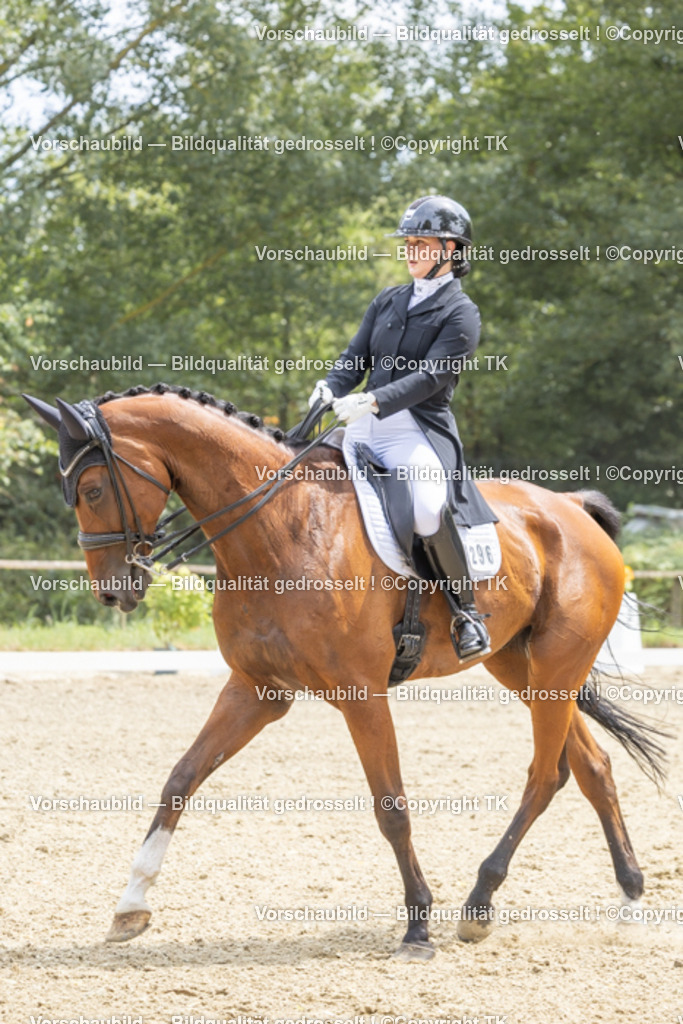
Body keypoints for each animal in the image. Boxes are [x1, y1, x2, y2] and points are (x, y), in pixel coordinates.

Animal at [23, 382, 667, 962]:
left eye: (93, 487)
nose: (114, 593)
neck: (277, 529)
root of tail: (573, 508)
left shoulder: (362, 696)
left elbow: (392, 810)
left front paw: (417, 927)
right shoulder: (257, 690)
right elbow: (180, 779)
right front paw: (130, 906)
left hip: (556, 665)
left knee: (544, 775)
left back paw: (479, 904)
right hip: (522, 667)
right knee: (589, 768)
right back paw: (629, 902)